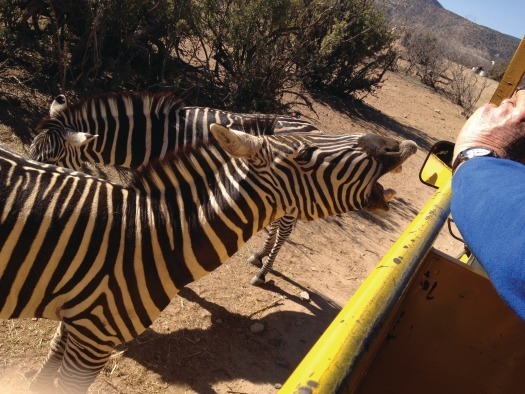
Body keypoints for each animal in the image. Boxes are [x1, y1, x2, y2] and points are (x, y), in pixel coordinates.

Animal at [30, 91, 322, 286]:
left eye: (52, 158)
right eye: (32, 151)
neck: (151, 138)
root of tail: (314, 127)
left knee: (284, 231)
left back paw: (262, 274)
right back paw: (259, 256)